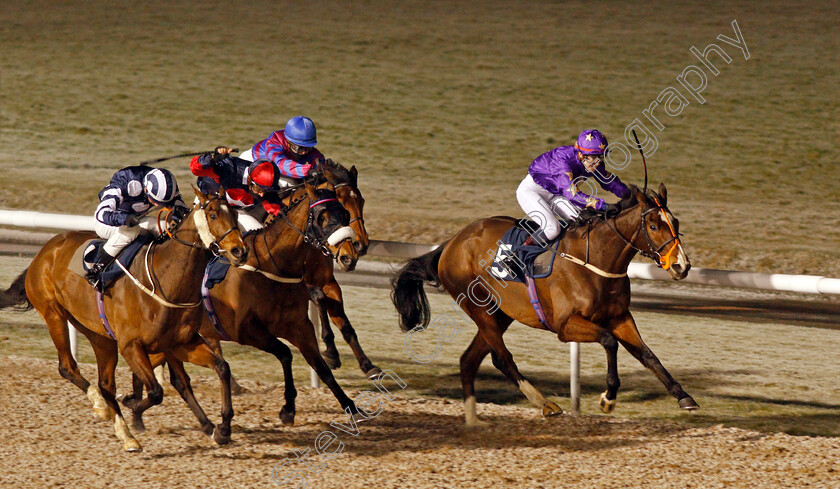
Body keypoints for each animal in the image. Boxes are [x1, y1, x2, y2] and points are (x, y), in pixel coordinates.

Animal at [0, 188, 248, 450]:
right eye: (213, 214)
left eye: (234, 214)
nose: (239, 251)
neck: (164, 280)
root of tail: (44, 252)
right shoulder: (131, 345)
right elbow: (155, 392)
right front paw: (132, 403)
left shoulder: (181, 343)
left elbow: (221, 367)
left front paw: (222, 428)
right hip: (53, 314)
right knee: (68, 368)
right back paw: (104, 409)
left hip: (99, 335)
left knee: (105, 383)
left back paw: (123, 431)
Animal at [123, 171, 366, 430]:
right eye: (322, 217)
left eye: (345, 213)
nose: (349, 254)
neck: (272, 266)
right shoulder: (247, 331)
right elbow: (285, 353)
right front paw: (288, 408)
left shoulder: (300, 326)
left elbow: (321, 367)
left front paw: (352, 406)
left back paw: (136, 410)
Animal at [392, 183, 696, 424]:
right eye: (653, 226)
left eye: (677, 223)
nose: (681, 266)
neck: (596, 259)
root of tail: (452, 242)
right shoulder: (565, 325)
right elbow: (609, 342)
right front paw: (608, 397)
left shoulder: (620, 317)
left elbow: (647, 354)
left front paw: (683, 396)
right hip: (479, 308)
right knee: (502, 358)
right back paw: (545, 403)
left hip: (501, 313)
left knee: (469, 360)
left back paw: (473, 422)